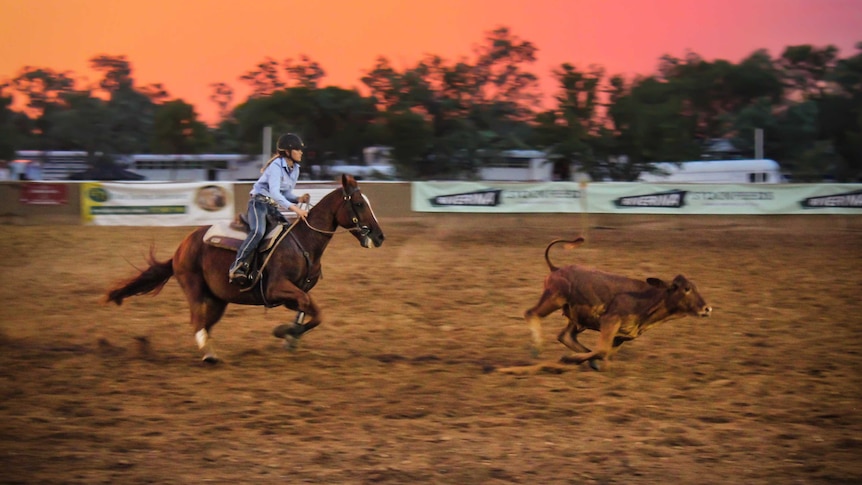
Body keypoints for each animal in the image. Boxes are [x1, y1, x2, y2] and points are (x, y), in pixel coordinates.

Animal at [104, 172, 384, 362]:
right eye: (359, 203)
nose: (379, 236)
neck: (303, 241)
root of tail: (180, 248)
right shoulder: (275, 288)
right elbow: (309, 308)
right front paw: (286, 332)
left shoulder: (293, 294)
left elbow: (313, 311)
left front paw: (290, 336)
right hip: (194, 287)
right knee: (196, 321)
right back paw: (208, 355)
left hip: (217, 299)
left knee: (206, 324)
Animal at [528, 238, 716, 370]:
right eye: (686, 289)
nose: (707, 308)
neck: (648, 301)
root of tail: (556, 268)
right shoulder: (609, 321)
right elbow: (602, 350)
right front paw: (568, 358)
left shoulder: (621, 336)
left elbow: (605, 353)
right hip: (553, 298)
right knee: (531, 313)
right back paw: (538, 347)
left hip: (576, 317)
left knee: (565, 336)